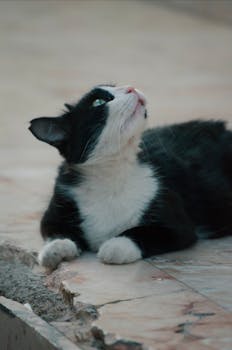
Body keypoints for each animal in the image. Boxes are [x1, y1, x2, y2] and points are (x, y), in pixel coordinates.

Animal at [28, 83, 232, 270]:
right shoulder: (58, 203)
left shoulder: (178, 224)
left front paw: (116, 245)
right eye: (98, 102)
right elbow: (54, 230)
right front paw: (55, 248)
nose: (131, 88)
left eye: (116, 85)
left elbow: (142, 232)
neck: (113, 174)